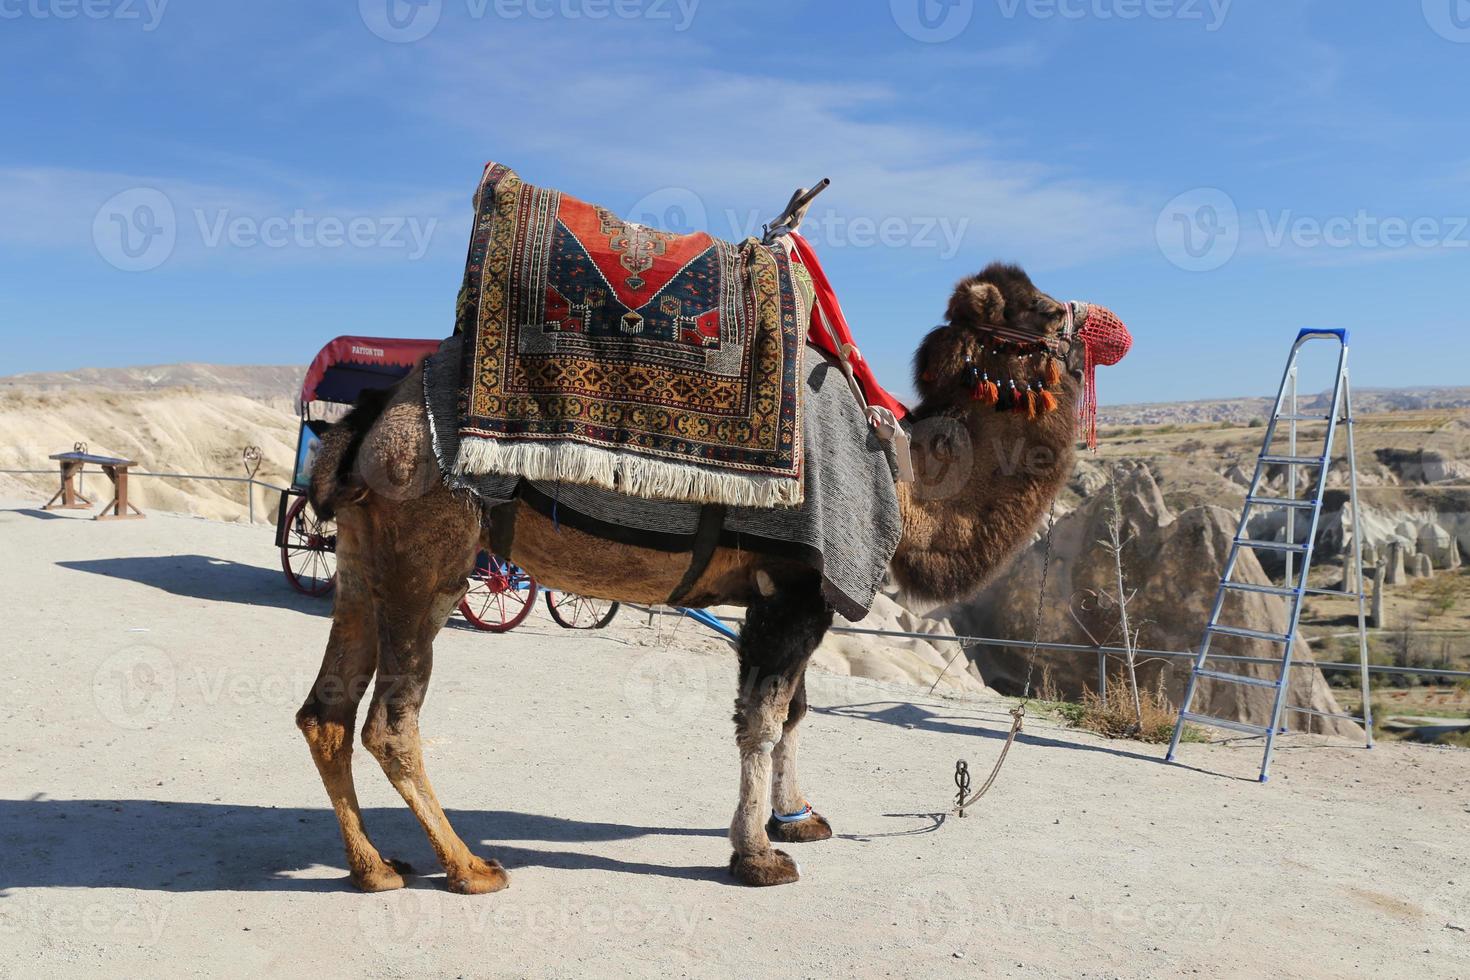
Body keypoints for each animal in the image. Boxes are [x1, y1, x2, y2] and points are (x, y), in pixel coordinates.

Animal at [292, 260, 1087, 887]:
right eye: (1042, 311)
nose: (1089, 320)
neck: (906, 485)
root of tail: (374, 419)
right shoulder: (793, 589)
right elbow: (763, 719)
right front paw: (758, 856)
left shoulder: (794, 597)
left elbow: (796, 711)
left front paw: (798, 818)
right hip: (431, 549)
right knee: (390, 721)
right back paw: (468, 867)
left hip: (364, 556)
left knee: (326, 709)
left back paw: (375, 869)